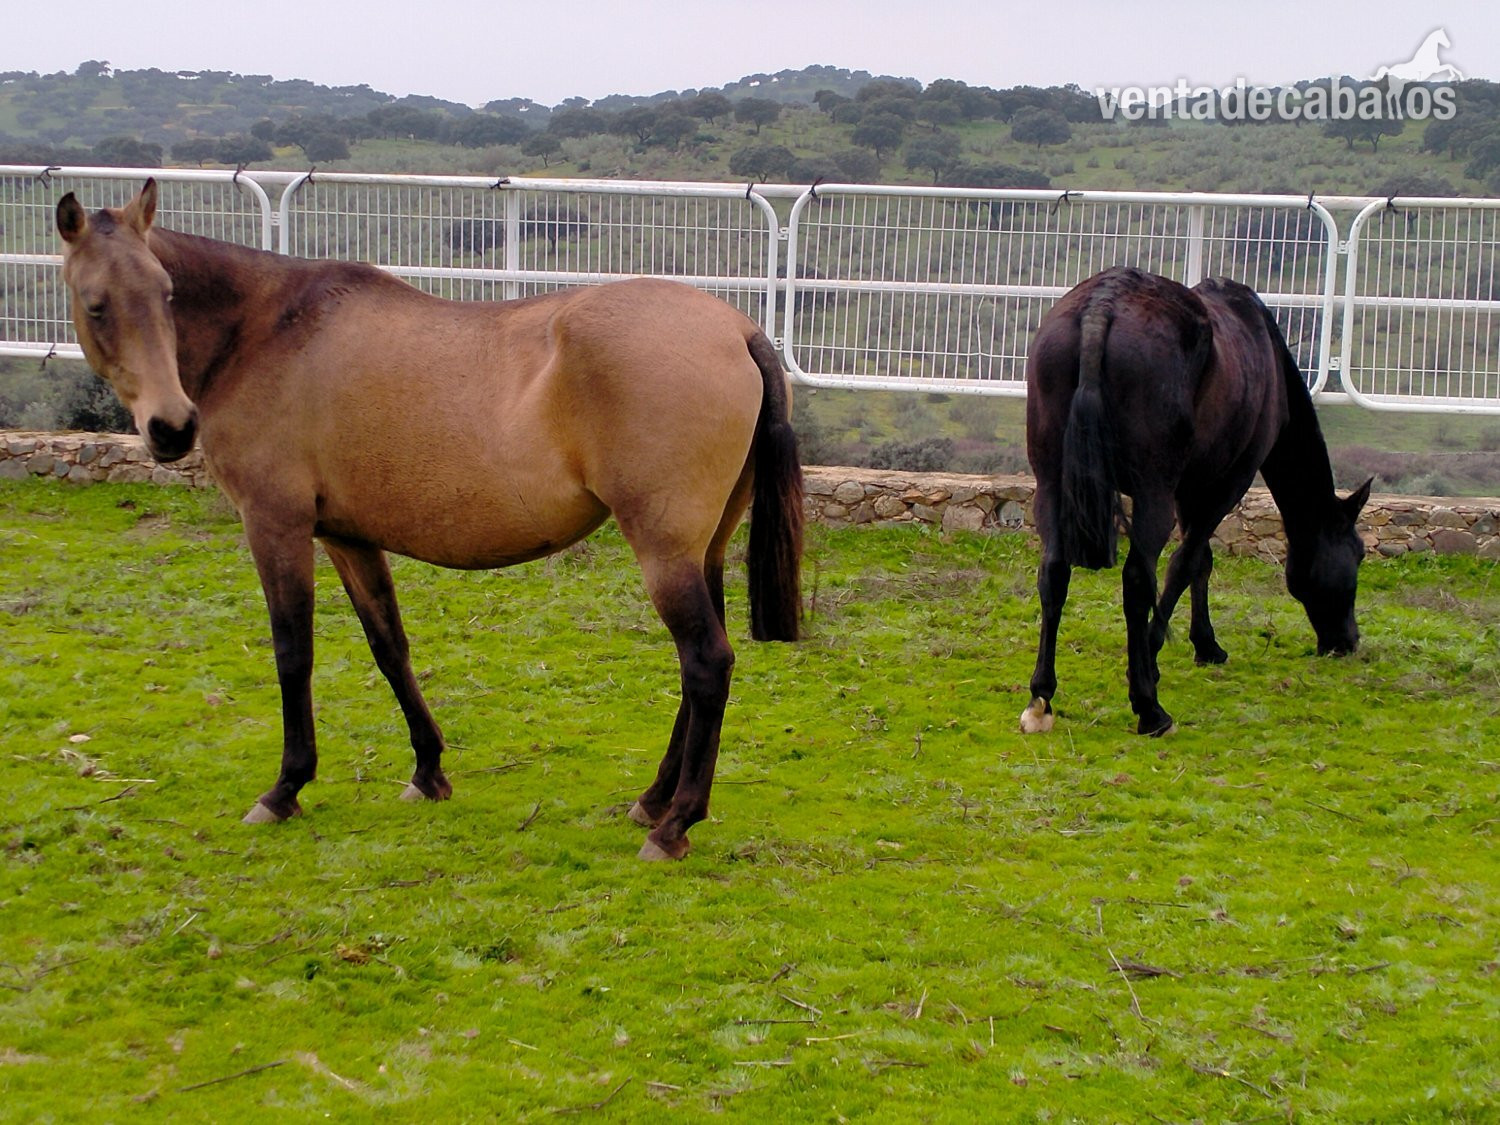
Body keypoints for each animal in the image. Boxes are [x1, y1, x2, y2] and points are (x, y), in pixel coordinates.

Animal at [55, 179, 804, 861]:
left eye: (167, 295)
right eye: (98, 304)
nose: (171, 427)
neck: (266, 330)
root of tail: (738, 331)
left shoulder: (276, 526)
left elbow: (293, 653)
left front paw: (286, 788)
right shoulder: (348, 538)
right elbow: (390, 646)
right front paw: (427, 770)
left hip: (664, 551)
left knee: (706, 662)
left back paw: (674, 823)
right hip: (701, 549)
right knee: (699, 666)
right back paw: (652, 798)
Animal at [1020, 266, 1371, 737]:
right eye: (1358, 554)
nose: (1347, 640)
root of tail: (1100, 309)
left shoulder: (1191, 488)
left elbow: (1200, 561)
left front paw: (1205, 644)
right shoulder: (1226, 483)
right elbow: (1185, 563)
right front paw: (1153, 658)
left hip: (1051, 483)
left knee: (1054, 572)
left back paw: (1041, 698)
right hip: (1152, 495)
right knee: (1137, 580)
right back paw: (1149, 708)